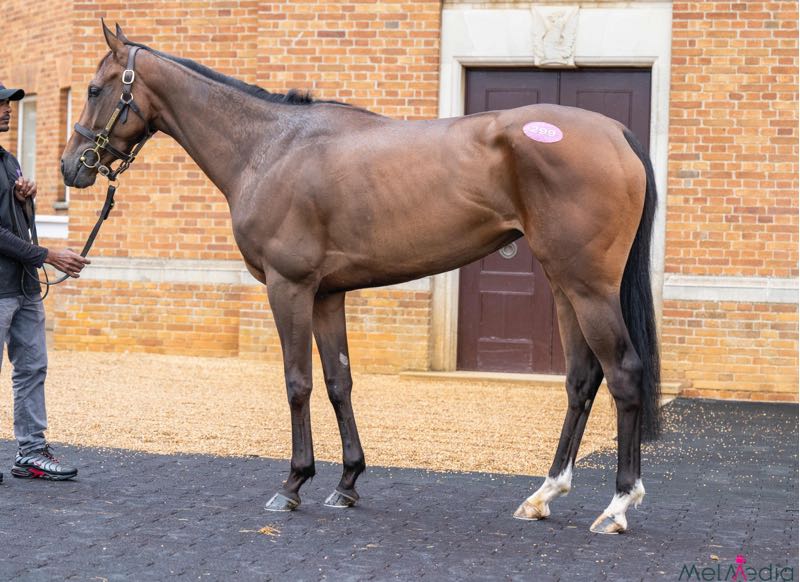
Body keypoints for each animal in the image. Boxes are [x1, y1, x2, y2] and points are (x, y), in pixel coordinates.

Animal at [60, 22, 661, 534]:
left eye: (94, 89)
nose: (72, 167)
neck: (270, 148)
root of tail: (617, 133)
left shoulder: (289, 286)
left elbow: (297, 382)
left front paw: (293, 483)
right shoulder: (328, 294)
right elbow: (338, 382)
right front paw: (347, 481)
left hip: (588, 288)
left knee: (624, 373)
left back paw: (617, 505)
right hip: (564, 286)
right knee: (581, 379)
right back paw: (543, 495)